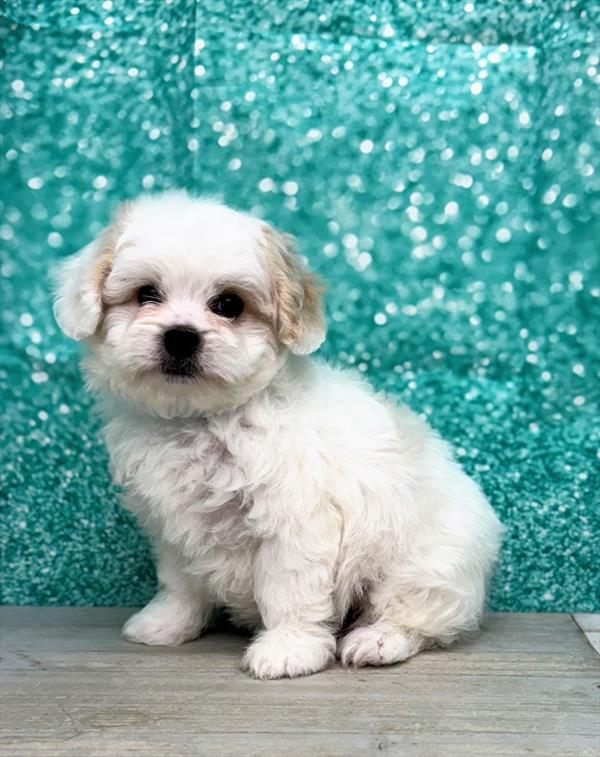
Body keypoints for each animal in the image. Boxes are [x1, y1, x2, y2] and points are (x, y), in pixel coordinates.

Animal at [54, 190, 504, 680]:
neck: (203, 418)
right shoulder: (173, 525)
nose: (181, 337)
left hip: (429, 564)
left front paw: (289, 648)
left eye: (228, 305)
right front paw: (167, 623)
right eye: (146, 294)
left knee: (416, 613)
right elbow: (180, 582)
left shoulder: (295, 521)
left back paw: (378, 639)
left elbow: (289, 590)